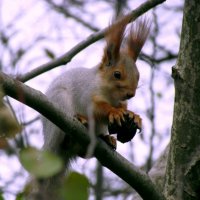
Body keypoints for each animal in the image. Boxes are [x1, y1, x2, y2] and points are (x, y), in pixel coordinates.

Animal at [39, 16, 149, 198]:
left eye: (138, 75)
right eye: (117, 74)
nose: (131, 94)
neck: (111, 95)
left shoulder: (121, 101)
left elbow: (124, 108)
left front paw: (133, 116)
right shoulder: (87, 93)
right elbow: (98, 109)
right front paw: (114, 112)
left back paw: (107, 138)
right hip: (60, 107)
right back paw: (81, 120)